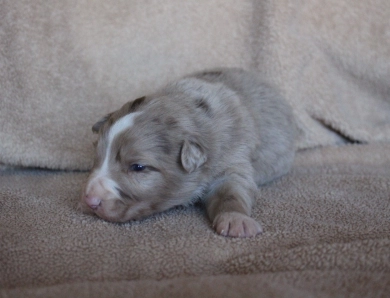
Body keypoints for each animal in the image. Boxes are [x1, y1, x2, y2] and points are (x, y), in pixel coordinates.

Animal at [81, 67, 296, 237]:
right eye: (97, 157)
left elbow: (232, 190)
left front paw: (236, 220)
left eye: (138, 167)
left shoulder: (233, 157)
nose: (90, 200)